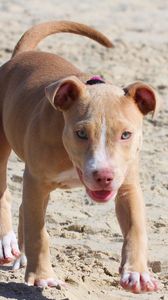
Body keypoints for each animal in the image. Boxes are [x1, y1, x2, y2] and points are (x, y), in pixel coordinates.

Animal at [0, 21, 159, 292]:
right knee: (6, 194)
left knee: (22, 207)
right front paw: (43, 276)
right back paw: (7, 242)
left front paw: (137, 274)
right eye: (81, 133)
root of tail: (22, 55)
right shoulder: (36, 182)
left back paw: (22, 256)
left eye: (126, 134)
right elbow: (38, 233)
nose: (104, 176)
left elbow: (136, 229)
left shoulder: (127, 184)